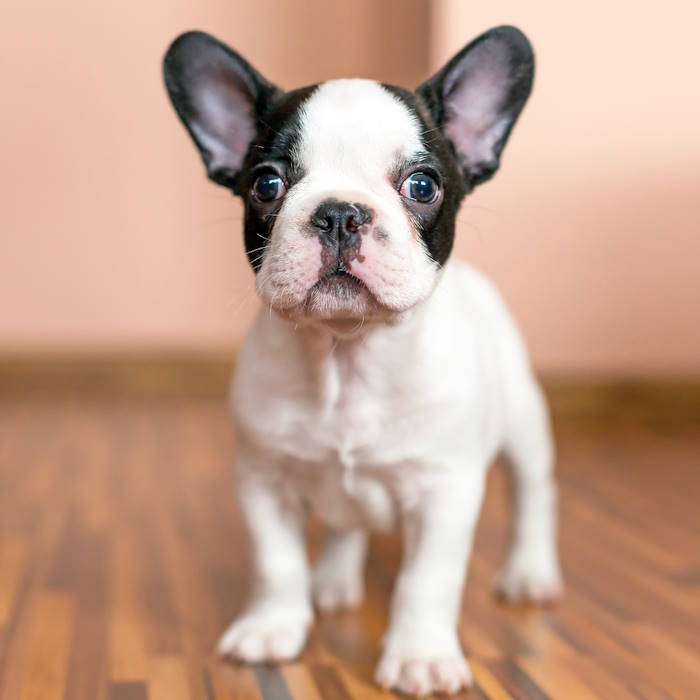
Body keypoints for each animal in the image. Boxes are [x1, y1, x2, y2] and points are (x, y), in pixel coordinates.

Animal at [164, 26, 564, 696]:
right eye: (266, 184)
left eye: (423, 185)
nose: (338, 212)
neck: (346, 357)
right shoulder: (263, 479)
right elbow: (275, 563)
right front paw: (272, 628)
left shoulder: (445, 491)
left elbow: (426, 581)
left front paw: (421, 656)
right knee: (345, 522)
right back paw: (333, 579)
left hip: (524, 427)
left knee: (533, 491)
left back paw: (530, 571)